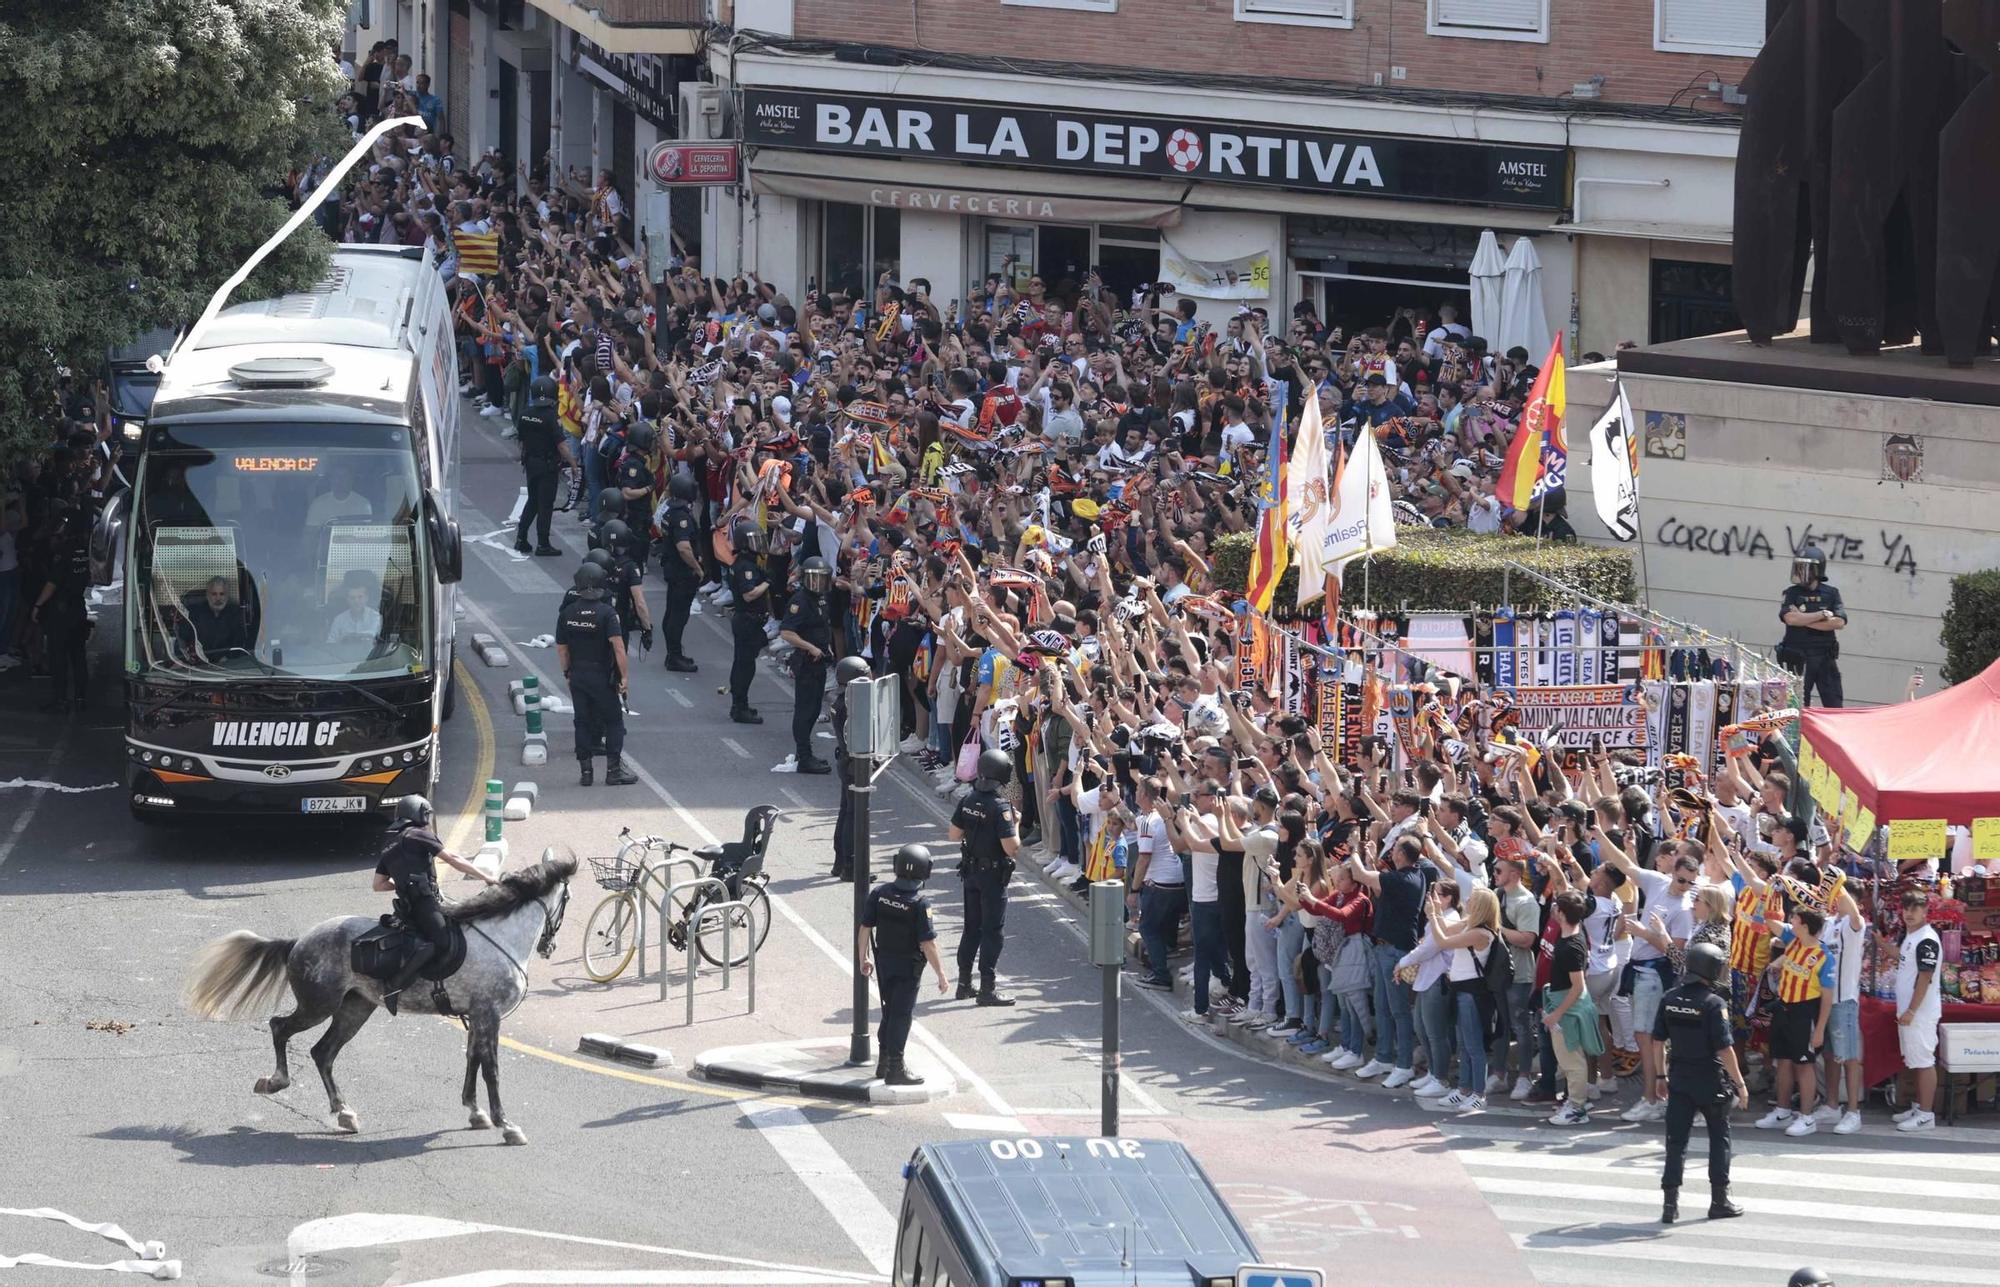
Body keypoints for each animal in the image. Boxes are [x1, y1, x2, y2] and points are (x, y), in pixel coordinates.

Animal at [180, 859, 576, 1143]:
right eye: (568, 900)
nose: (550, 946)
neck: (500, 937)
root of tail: (299, 941)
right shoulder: (488, 1015)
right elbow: (490, 1068)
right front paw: (506, 1124)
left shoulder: (476, 1017)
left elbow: (473, 1060)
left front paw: (475, 1112)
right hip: (318, 1006)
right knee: (280, 1028)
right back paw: (276, 1081)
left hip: (355, 1009)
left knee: (322, 1053)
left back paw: (344, 1112)